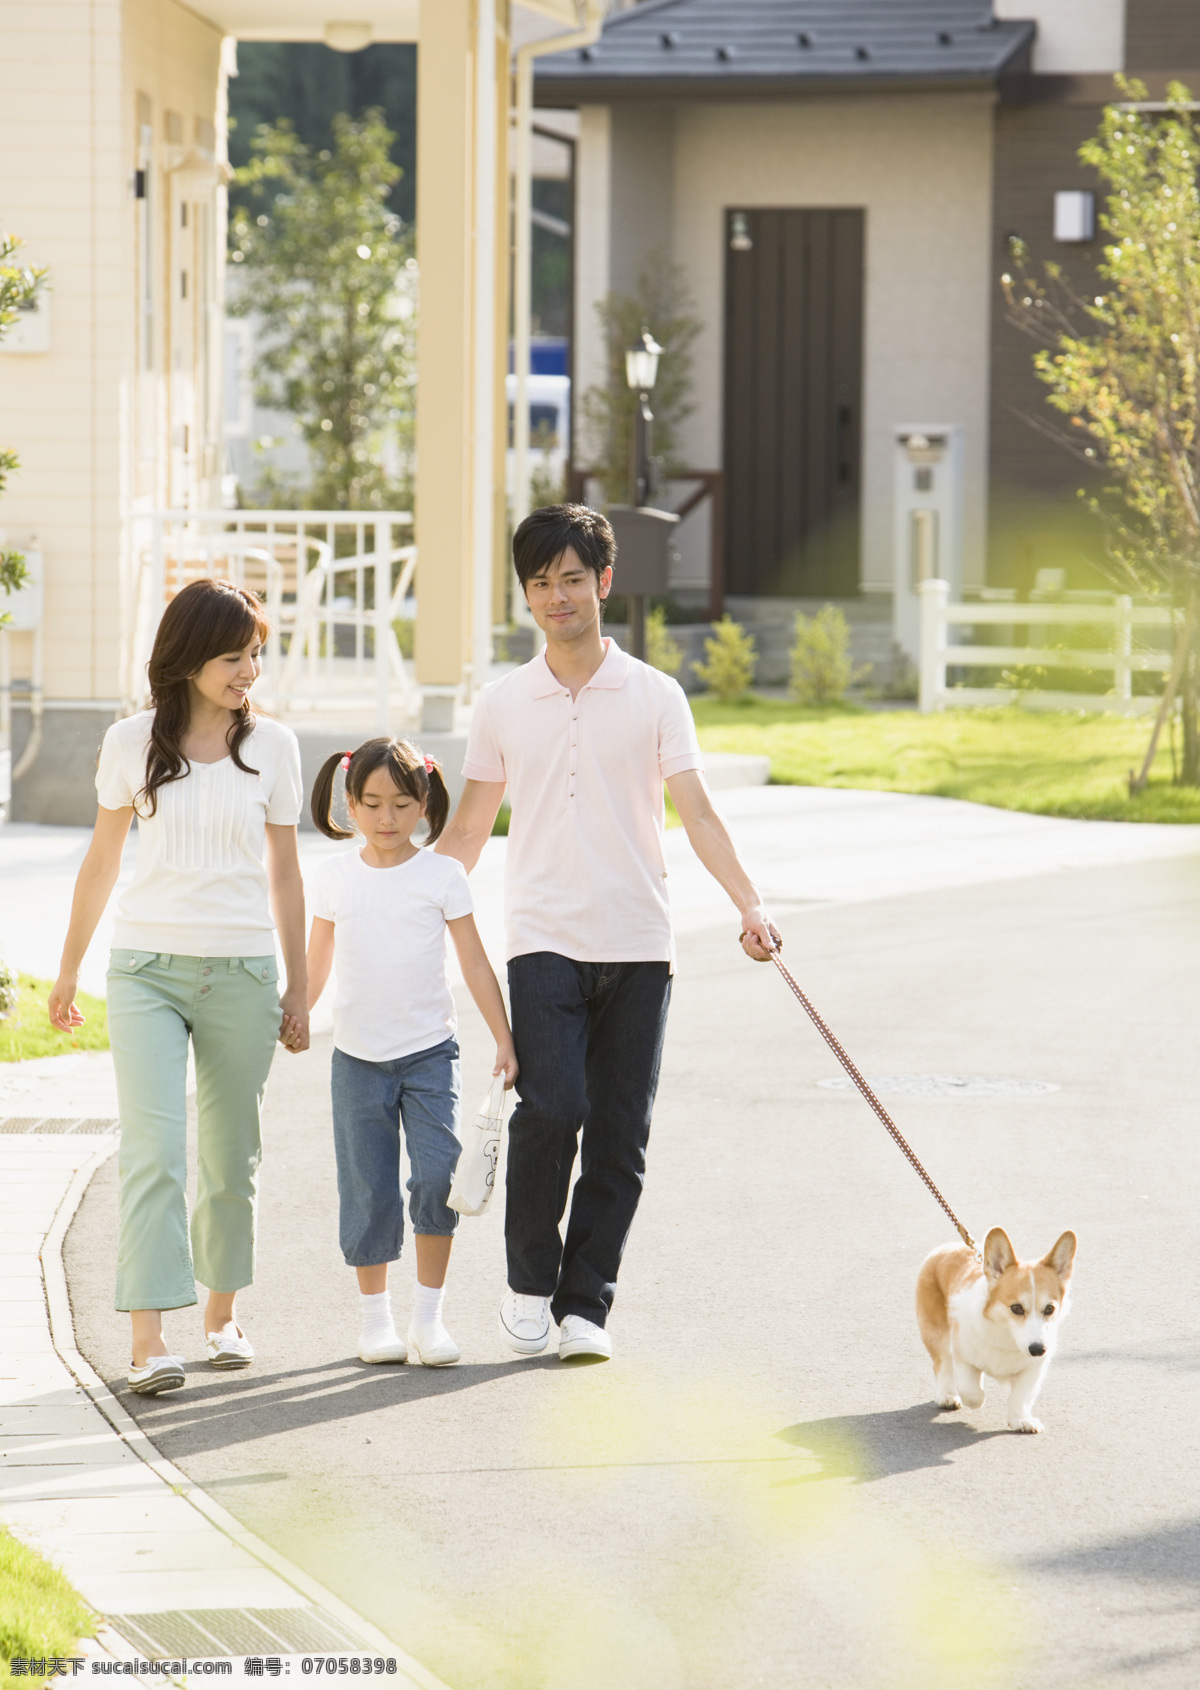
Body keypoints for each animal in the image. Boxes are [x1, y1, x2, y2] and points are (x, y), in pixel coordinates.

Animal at [919, 1223, 1081, 1433]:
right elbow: (971, 1391)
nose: (1038, 1349)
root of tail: (946, 1247)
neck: (1006, 1337)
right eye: (1016, 1308)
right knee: (942, 1365)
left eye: (1050, 1309)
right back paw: (947, 1396)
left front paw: (1021, 1419)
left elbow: (1020, 1396)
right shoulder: (963, 1358)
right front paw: (978, 1398)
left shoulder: (1033, 1370)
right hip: (937, 1337)